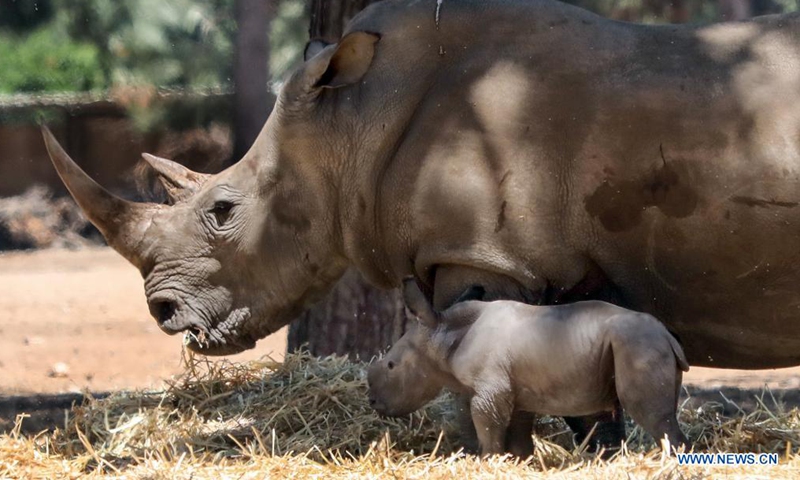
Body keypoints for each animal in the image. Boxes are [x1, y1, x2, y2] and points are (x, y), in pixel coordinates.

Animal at [45, 0, 800, 447]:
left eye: (223, 212)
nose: (163, 312)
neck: (349, 122)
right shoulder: (528, 260)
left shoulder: (483, 253)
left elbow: (489, 359)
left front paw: (495, 451)